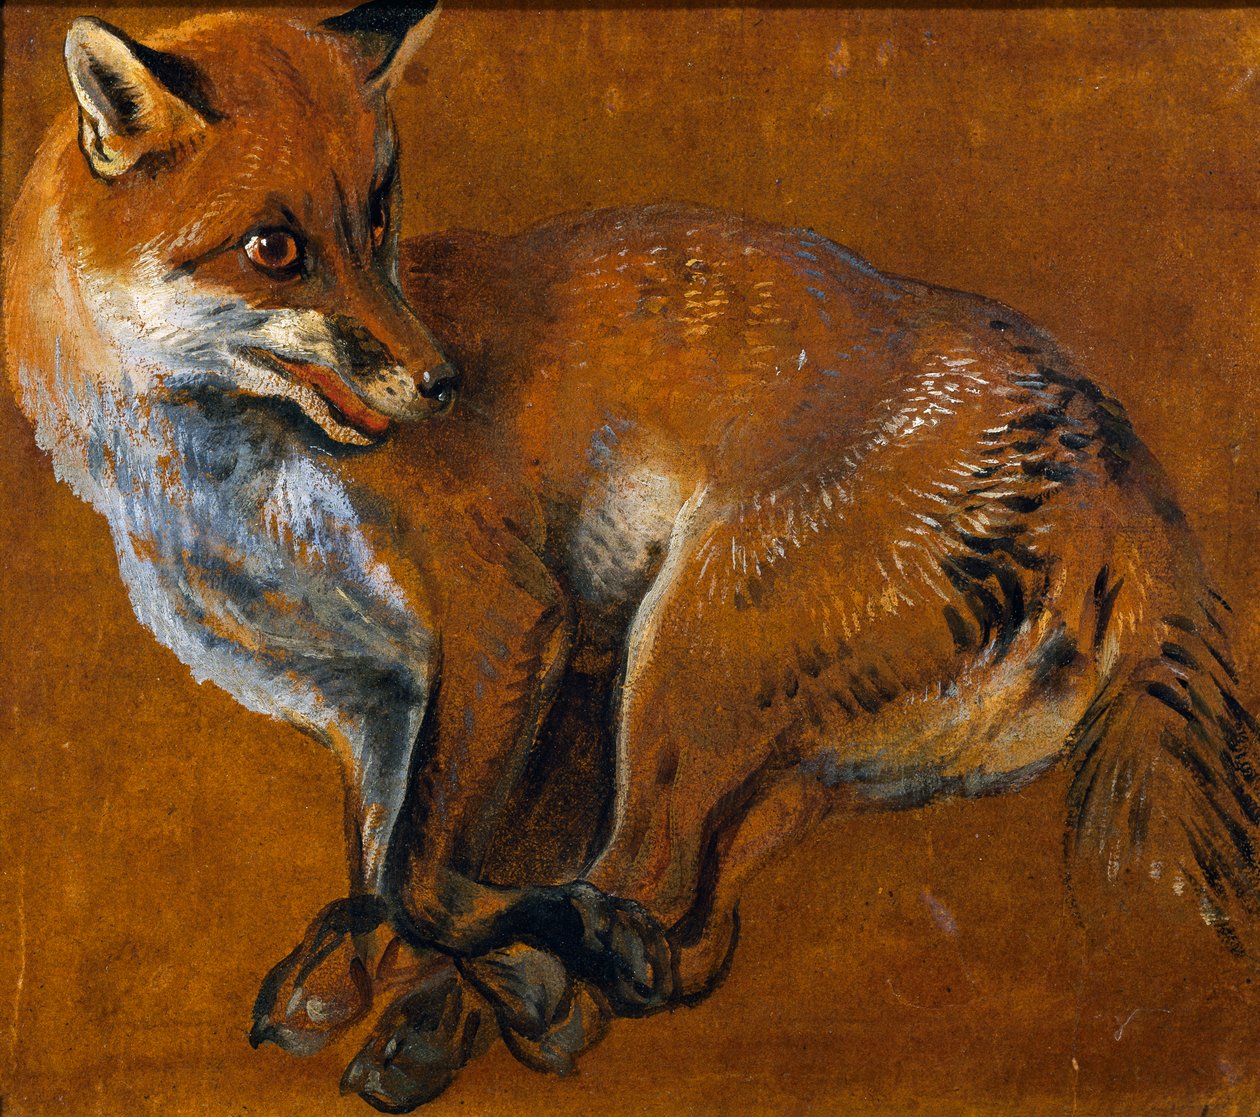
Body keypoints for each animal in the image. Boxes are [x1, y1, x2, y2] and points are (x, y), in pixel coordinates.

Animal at [6, 2, 1260, 1111]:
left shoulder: (513, 618)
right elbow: (385, 870)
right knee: (690, 933)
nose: (441, 382)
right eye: (273, 249)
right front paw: (367, 979)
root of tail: (1106, 435)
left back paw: (516, 993)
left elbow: (421, 874)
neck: (229, 496)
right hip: (803, 757)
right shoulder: (366, 699)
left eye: (379, 222)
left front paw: (460, 975)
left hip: (687, 655)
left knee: (640, 890)